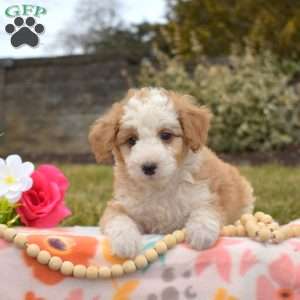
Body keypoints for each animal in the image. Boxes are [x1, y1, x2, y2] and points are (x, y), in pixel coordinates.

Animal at [89, 86, 255, 258]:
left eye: (166, 135)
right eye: (131, 140)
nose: (148, 167)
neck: (160, 186)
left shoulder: (206, 194)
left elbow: (206, 209)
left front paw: (201, 231)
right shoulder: (120, 204)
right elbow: (118, 218)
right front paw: (125, 241)